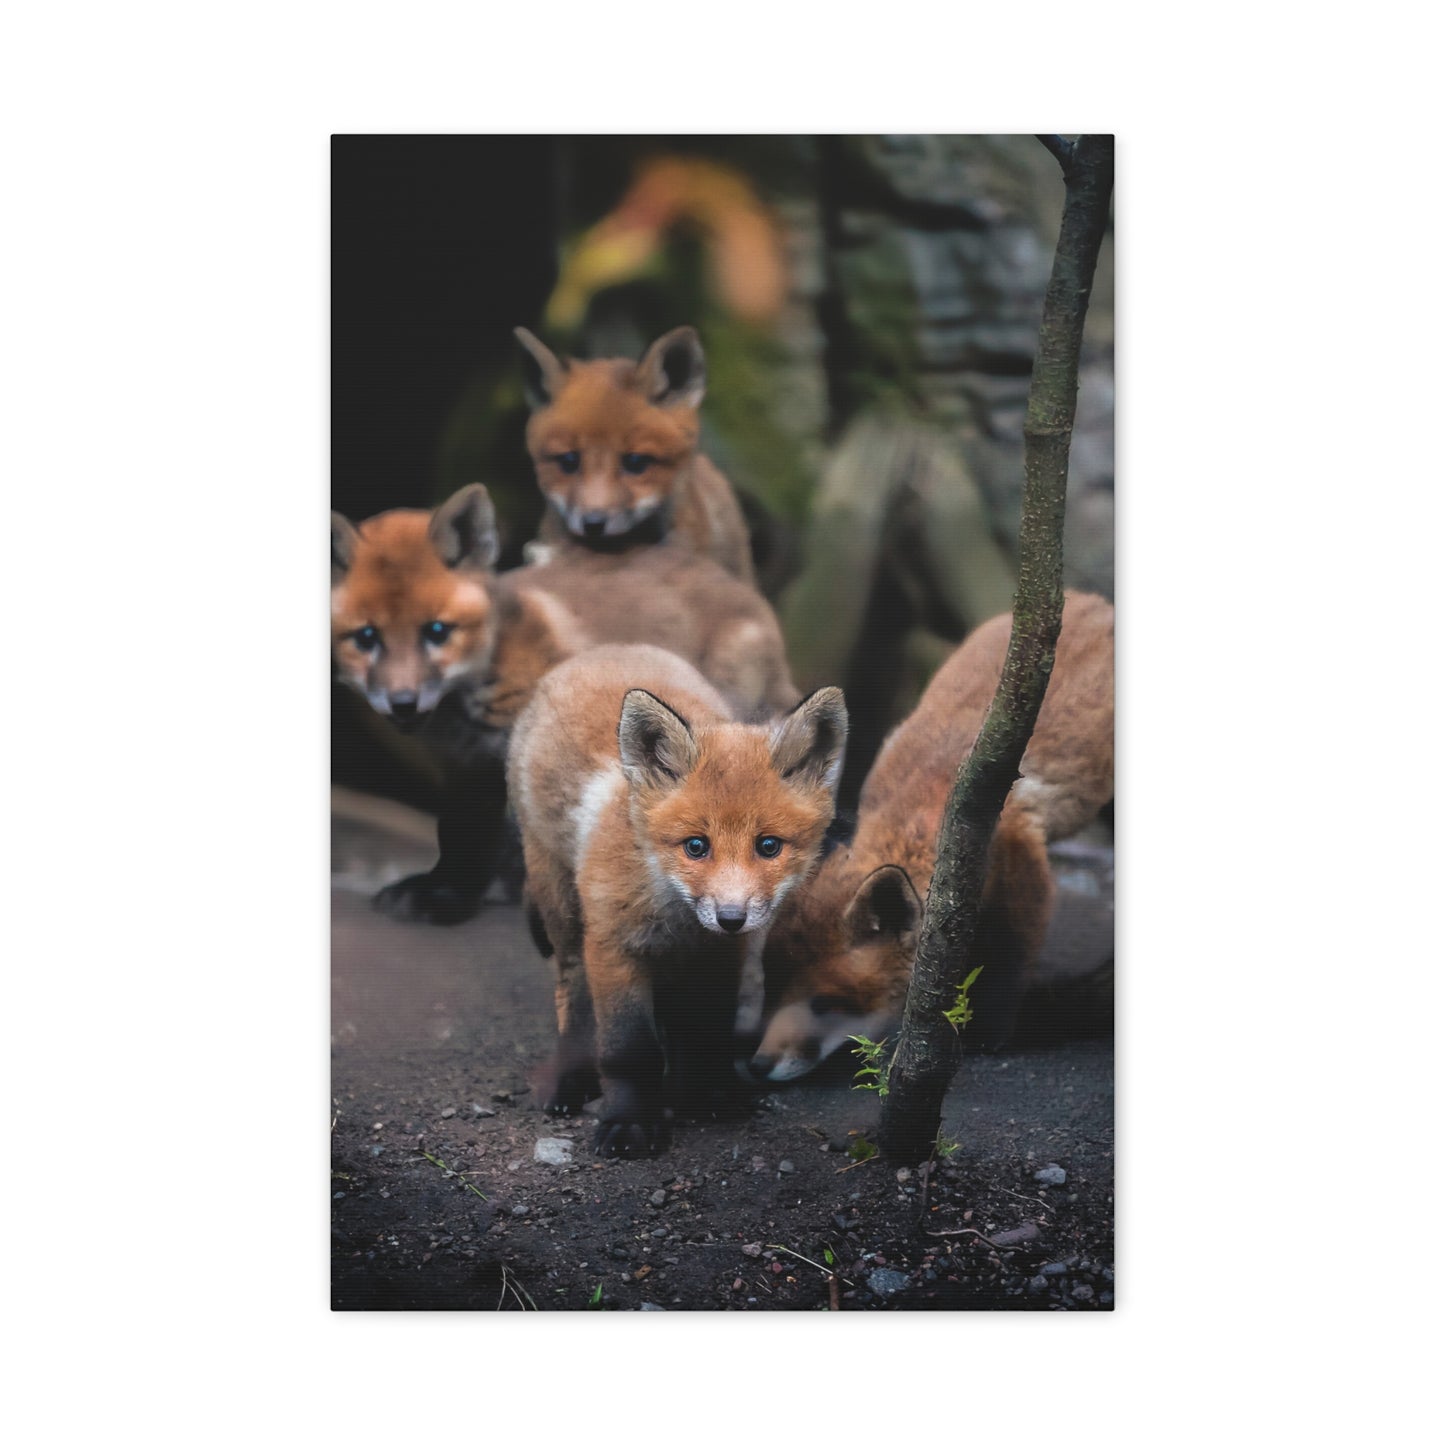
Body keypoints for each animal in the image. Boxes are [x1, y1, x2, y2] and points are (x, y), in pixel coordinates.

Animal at [331, 484, 798, 924]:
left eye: (437, 631)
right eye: (366, 638)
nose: (403, 704)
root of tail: (746, 592)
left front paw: (450, 900)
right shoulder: (466, 766)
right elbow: (459, 830)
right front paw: (447, 890)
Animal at [508, 643, 848, 1156]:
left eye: (768, 846)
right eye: (696, 846)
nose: (731, 917)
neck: (676, 915)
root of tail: (607, 649)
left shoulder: (719, 957)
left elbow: (704, 1032)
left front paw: (704, 1096)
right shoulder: (613, 945)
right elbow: (629, 1049)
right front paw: (630, 1121)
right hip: (563, 911)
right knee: (572, 993)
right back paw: (570, 1080)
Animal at [751, 591, 1114, 1083]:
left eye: (825, 1004)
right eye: (773, 988)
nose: (758, 1065)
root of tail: (1090, 599)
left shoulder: (1021, 860)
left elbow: (1009, 959)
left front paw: (985, 1036)